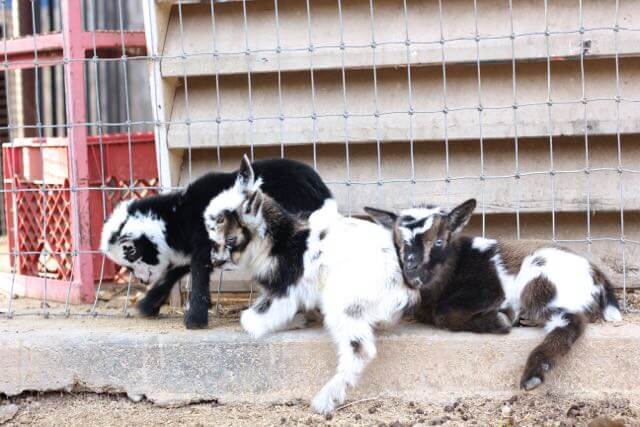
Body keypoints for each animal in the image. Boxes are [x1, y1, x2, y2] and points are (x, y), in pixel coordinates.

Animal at [101, 159, 330, 330]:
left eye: (131, 252)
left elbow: (198, 271)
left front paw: (195, 319)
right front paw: (148, 305)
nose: (141, 279)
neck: (178, 216)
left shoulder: (205, 242)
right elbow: (177, 270)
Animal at [202, 155, 418, 416]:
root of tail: (403, 286)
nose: (214, 261)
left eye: (231, 238)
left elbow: (252, 319)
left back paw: (325, 399)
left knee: (361, 349)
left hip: (343, 303)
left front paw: (293, 321)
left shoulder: (283, 290)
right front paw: (301, 319)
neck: (280, 241)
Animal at [368, 199, 624, 392]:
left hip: (540, 277)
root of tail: (597, 273)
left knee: (568, 322)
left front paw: (499, 320)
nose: (412, 272)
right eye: (398, 244)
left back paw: (533, 373)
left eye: (439, 241)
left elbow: (443, 313)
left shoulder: (489, 290)